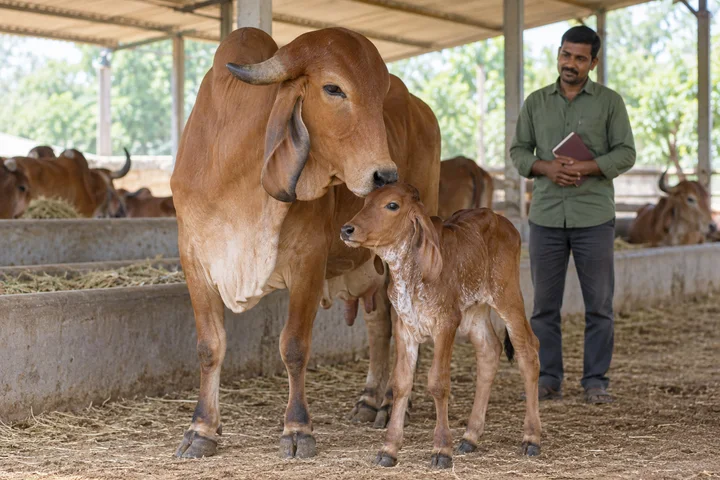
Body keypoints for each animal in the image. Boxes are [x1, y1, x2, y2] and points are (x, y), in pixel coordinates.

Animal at [170, 27, 440, 459]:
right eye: (333, 88)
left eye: (381, 94)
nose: (386, 177)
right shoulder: (195, 259)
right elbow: (209, 346)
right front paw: (202, 429)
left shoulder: (308, 260)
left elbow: (294, 346)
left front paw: (297, 429)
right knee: (379, 323)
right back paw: (370, 399)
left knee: (404, 326)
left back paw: (393, 403)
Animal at [340, 182, 541, 468]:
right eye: (365, 202)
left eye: (392, 205)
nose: (347, 229)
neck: (410, 273)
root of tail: (502, 220)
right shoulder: (405, 328)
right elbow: (401, 383)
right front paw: (389, 449)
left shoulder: (446, 323)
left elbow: (438, 383)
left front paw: (441, 449)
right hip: (476, 311)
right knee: (489, 351)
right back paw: (470, 436)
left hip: (508, 297)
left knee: (528, 352)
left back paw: (531, 438)